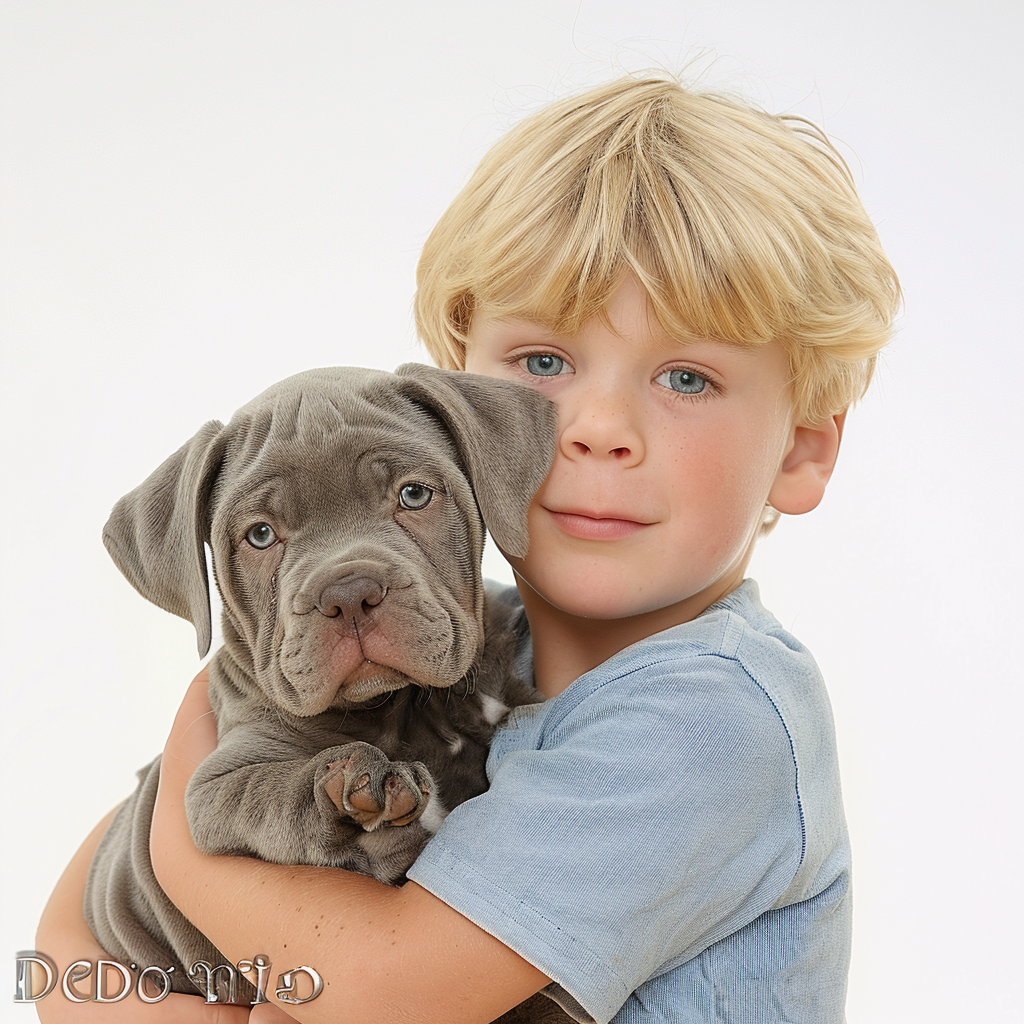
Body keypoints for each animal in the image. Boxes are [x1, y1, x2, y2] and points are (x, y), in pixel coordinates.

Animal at [82, 364, 573, 1019]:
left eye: (413, 495)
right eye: (261, 535)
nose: (349, 592)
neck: (400, 708)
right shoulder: (210, 791)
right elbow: (269, 792)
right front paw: (354, 787)